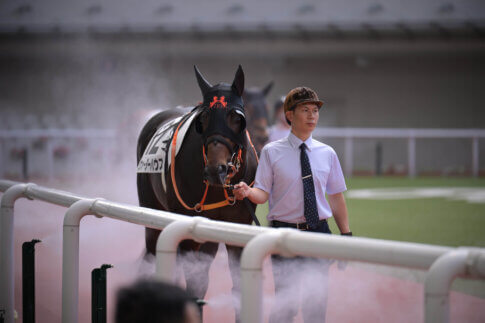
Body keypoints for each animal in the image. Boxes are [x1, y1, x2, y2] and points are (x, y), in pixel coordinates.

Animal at [135, 65, 258, 318]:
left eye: (236, 118)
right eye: (203, 118)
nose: (215, 170)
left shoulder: (238, 227)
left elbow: (237, 288)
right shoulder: (187, 232)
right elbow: (193, 288)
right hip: (151, 215)